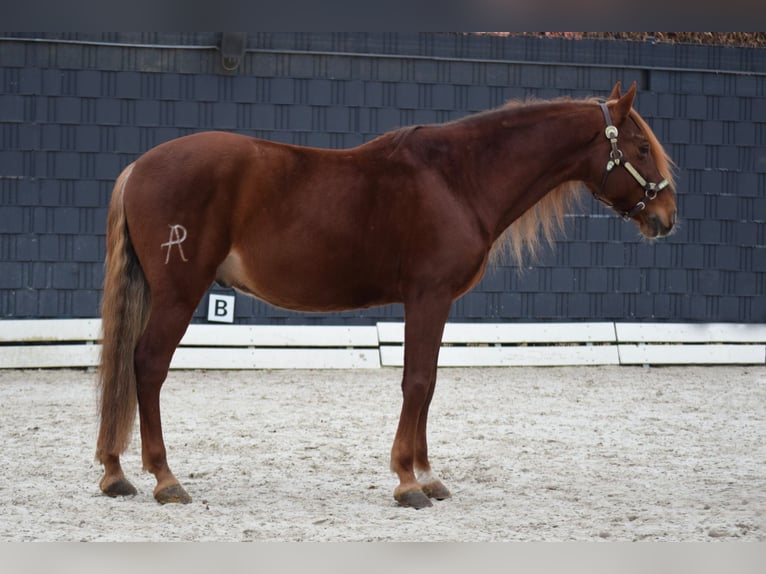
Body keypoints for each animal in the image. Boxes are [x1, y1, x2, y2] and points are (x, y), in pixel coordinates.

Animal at [96, 81, 676, 509]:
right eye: (642, 147)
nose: (666, 217)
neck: (456, 177)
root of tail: (139, 166)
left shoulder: (437, 304)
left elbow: (430, 383)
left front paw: (427, 474)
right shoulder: (428, 297)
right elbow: (416, 383)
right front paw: (407, 482)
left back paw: (115, 473)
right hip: (179, 294)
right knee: (147, 365)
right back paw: (165, 479)